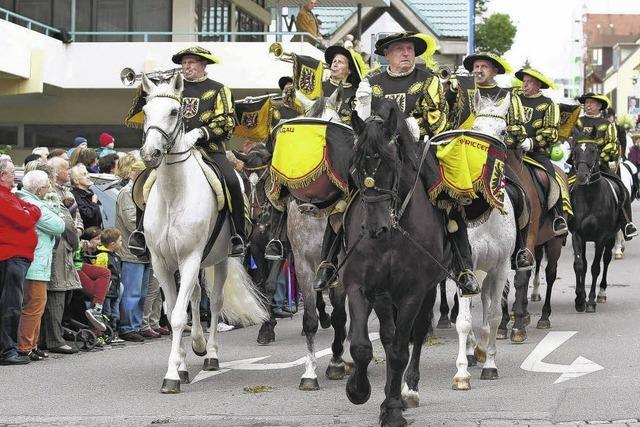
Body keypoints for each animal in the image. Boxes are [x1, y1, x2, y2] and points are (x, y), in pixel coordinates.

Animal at [140, 74, 268, 394]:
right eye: (145, 112)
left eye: (174, 112)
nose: (150, 154)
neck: (174, 195)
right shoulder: (162, 263)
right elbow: (175, 310)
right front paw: (181, 366)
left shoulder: (190, 258)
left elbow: (177, 316)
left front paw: (172, 376)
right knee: (197, 298)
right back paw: (195, 349)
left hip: (219, 260)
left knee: (216, 301)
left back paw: (209, 354)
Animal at [342, 101, 448, 427]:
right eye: (356, 166)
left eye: (391, 164)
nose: (375, 228)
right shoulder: (362, 287)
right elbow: (363, 346)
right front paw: (358, 390)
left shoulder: (414, 291)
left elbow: (401, 350)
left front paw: (392, 410)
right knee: (388, 338)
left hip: (427, 291)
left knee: (417, 334)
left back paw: (407, 391)